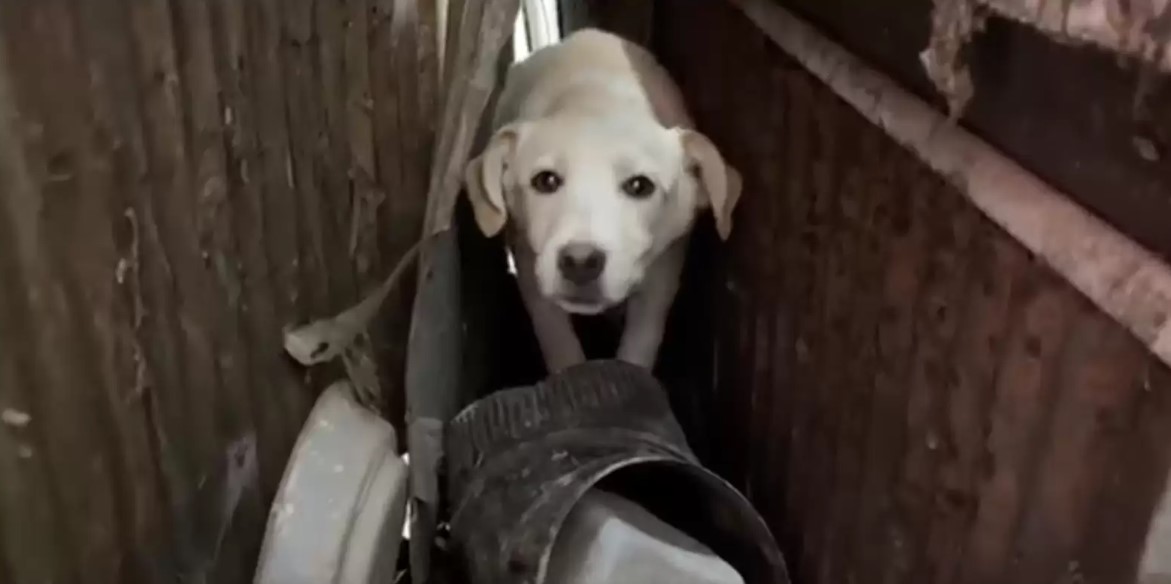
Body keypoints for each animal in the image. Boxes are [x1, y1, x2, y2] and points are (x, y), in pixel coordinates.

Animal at [459, 27, 740, 372]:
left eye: (640, 186)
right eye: (545, 181)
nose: (580, 262)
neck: (597, 99)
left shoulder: (660, 280)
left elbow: (637, 350)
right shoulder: (531, 273)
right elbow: (560, 347)